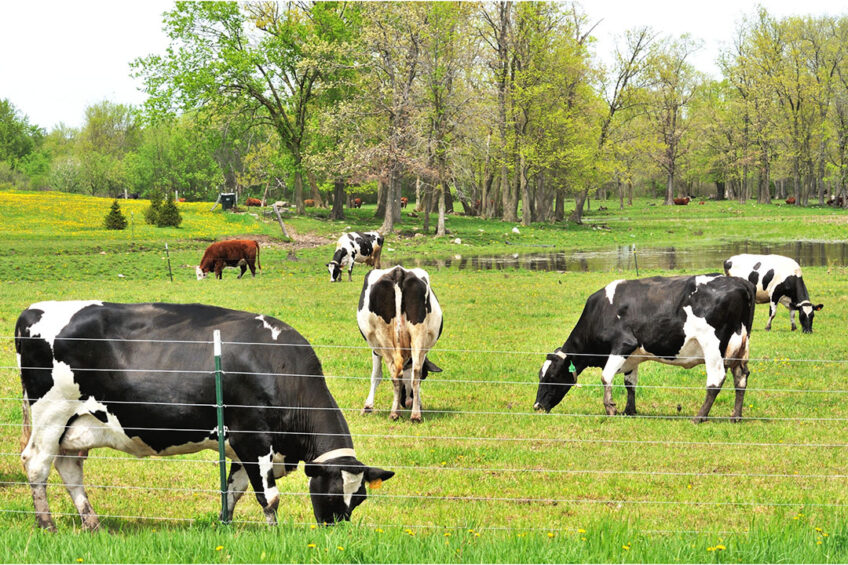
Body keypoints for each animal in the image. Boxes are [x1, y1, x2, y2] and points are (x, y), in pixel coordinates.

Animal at [15, 302, 394, 532]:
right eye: (331, 492)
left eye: (359, 498)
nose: (335, 530)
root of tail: (33, 312)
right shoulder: (252, 436)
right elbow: (269, 496)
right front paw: (274, 534)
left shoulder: (241, 448)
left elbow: (234, 491)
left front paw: (224, 525)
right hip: (51, 414)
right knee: (37, 464)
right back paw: (46, 524)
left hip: (77, 424)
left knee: (69, 467)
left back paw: (91, 523)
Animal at [356, 266, 444, 420]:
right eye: (426, 376)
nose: (407, 403)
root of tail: (398, 272)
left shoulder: (375, 349)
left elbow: (376, 375)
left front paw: (367, 407)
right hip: (418, 333)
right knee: (415, 373)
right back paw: (415, 415)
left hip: (383, 337)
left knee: (395, 375)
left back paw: (395, 413)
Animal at [536, 274, 756, 424]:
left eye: (552, 376)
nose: (537, 406)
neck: (601, 311)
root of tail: (740, 282)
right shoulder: (632, 356)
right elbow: (630, 384)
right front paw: (629, 411)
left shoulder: (623, 344)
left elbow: (606, 377)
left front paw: (611, 409)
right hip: (740, 349)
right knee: (741, 378)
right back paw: (736, 417)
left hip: (712, 346)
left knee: (715, 380)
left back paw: (699, 417)